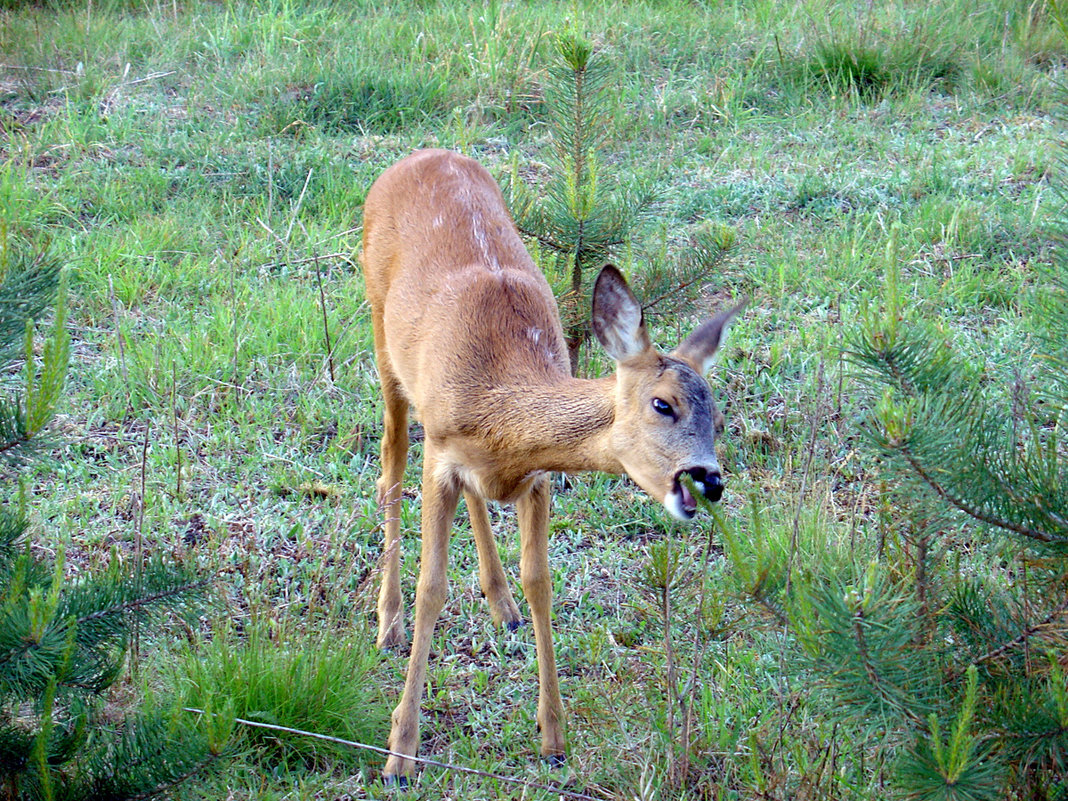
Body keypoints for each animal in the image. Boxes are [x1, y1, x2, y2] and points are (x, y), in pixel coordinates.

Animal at [360, 147, 743, 781]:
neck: (498, 403)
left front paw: (554, 738)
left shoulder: (535, 479)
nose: (710, 479)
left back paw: (501, 606)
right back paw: (386, 624)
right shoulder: (440, 452)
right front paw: (399, 753)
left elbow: (539, 581)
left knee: (475, 497)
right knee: (390, 465)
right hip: (382, 340)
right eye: (663, 403)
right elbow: (431, 587)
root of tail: (422, 154)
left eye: (716, 407)